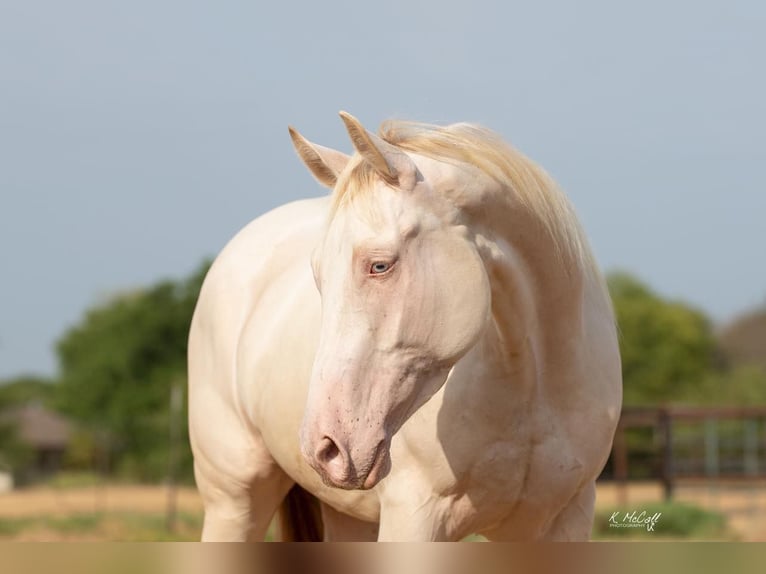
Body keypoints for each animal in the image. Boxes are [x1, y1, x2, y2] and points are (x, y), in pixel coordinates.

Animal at [188, 112, 624, 544]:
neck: (532, 385)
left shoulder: (563, 521)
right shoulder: (415, 516)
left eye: (380, 265)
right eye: (318, 274)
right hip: (235, 500)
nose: (323, 447)